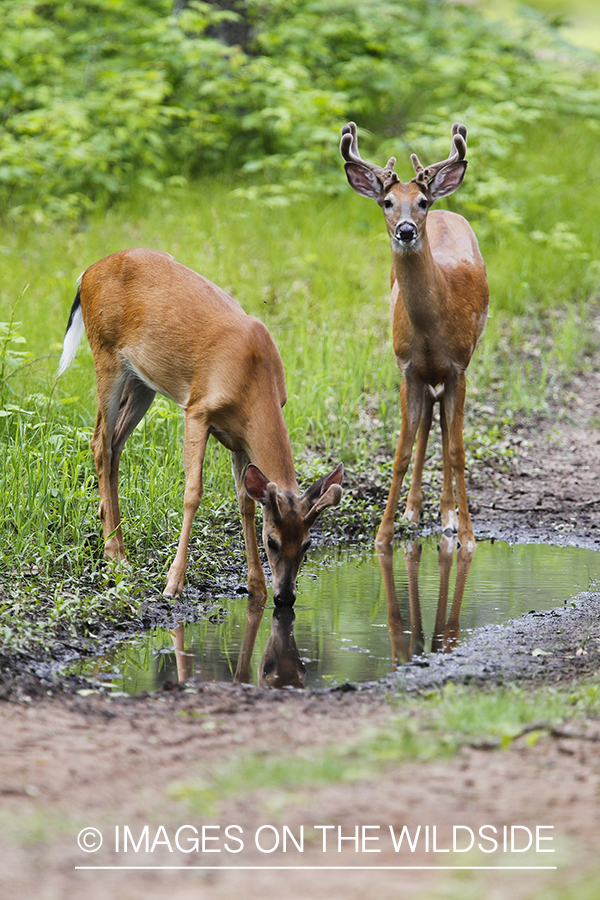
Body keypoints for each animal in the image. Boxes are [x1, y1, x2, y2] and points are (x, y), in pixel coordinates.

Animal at [58, 247, 343, 603]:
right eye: (272, 541)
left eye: (307, 543)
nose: (285, 597)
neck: (254, 377)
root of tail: (86, 274)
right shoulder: (197, 410)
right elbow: (193, 492)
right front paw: (172, 583)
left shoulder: (240, 438)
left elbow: (246, 502)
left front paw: (257, 586)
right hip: (106, 354)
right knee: (99, 441)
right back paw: (116, 556)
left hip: (142, 381)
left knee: (114, 444)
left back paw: (112, 534)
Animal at [340, 122, 489, 551]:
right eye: (387, 202)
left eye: (420, 201)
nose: (406, 230)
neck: (431, 325)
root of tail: (447, 208)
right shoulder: (407, 367)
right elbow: (402, 452)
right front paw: (383, 534)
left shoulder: (458, 367)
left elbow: (456, 450)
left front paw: (468, 536)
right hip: (422, 374)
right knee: (427, 422)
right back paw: (416, 510)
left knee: (443, 424)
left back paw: (449, 517)